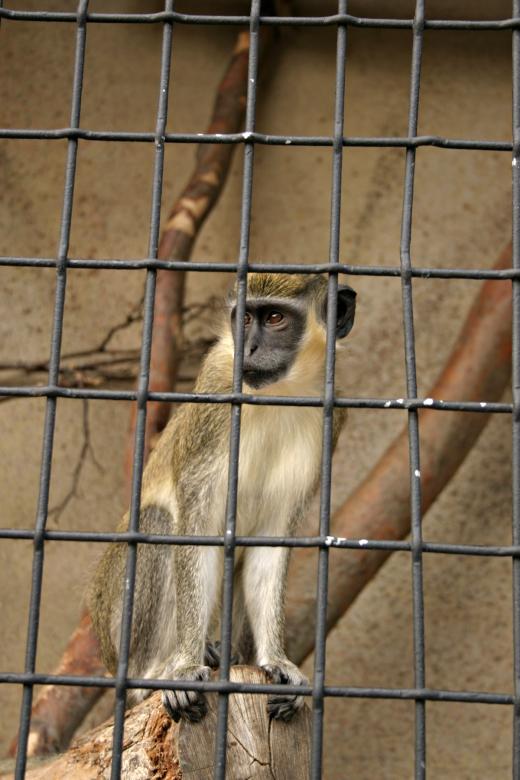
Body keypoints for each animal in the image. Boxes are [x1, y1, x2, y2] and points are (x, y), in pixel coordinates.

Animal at [89, 272, 356, 724]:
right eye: (244, 318)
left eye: (275, 318)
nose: (249, 348)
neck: (281, 392)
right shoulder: (216, 389)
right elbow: (196, 532)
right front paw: (183, 668)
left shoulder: (331, 415)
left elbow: (268, 544)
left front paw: (277, 661)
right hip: (113, 623)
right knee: (159, 522)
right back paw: (155, 671)